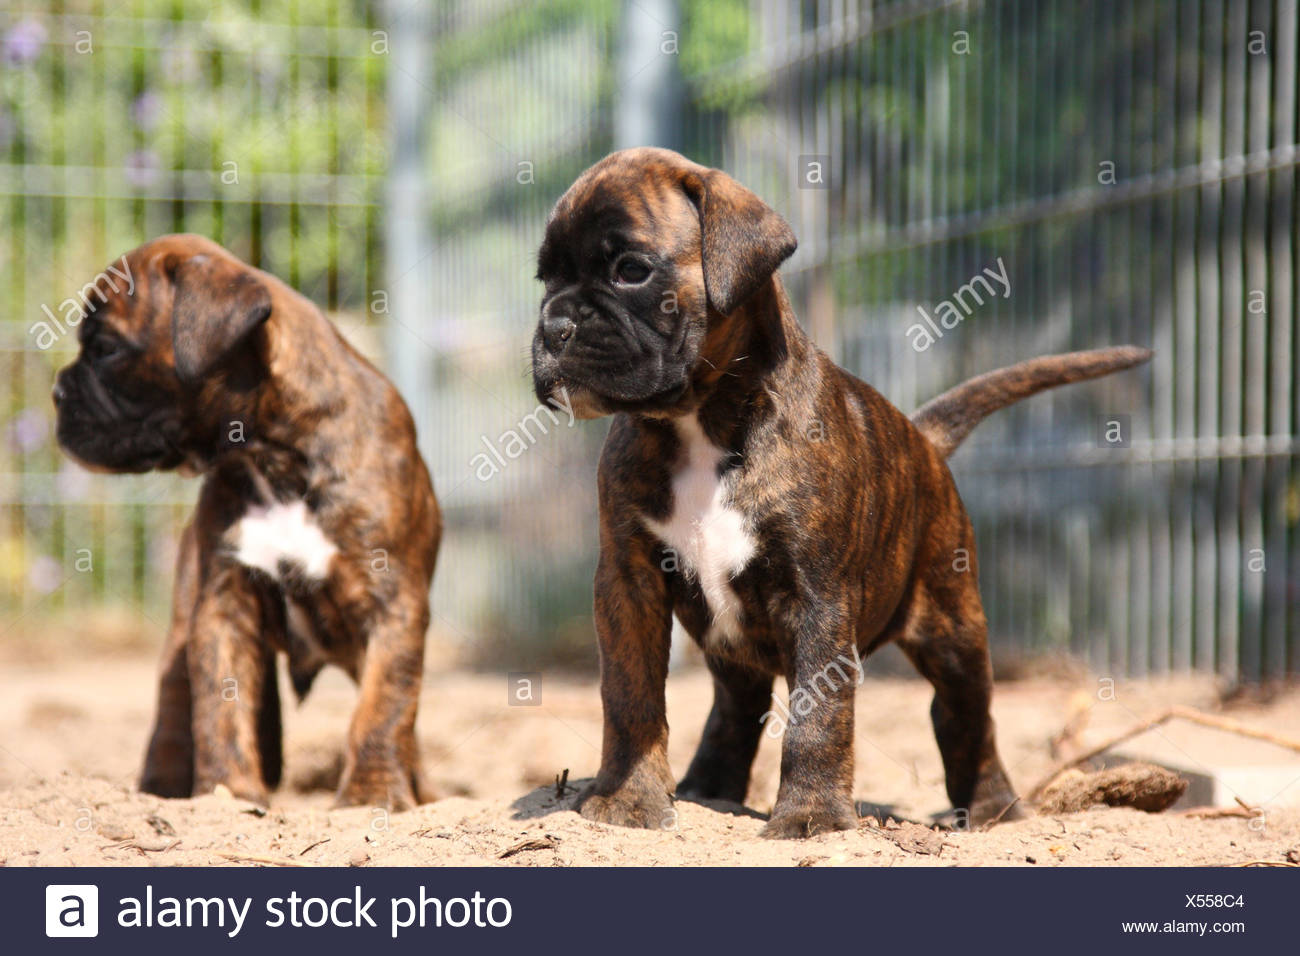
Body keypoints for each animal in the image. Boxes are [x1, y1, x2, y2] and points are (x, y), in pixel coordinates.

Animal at [54, 235, 441, 811]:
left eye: (105, 348)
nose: (56, 393)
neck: (273, 456)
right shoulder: (223, 607)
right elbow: (220, 706)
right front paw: (228, 794)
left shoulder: (393, 605)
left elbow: (383, 708)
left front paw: (371, 795)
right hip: (183, 616)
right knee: (175, 703)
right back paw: (160, 787)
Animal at [527, 147, 1149, 837]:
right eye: (544, 280)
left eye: (631, 270)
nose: (554, 327)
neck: (700, 422)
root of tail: (923, 438)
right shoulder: (628, 584)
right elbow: (630, 693)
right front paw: (630, 799)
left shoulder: (817, 597)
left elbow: (817, 716)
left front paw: (811, 817)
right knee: (736, 705)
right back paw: (709, 790)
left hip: (954, 624)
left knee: (964, 714)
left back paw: (993, 811)